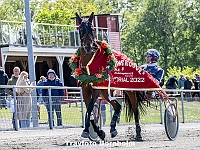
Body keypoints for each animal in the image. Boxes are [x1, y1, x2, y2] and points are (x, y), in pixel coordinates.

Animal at [73, 12, 145, 141]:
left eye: (92, 28)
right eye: (80, 29)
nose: (88, 46)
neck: (90, 65)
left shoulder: (97, 89)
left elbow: (90, 107)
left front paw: (87, 130)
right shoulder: (85, 90)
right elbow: (90, 110)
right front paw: (98, 132)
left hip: (129, 90)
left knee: (135, 109)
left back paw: (138, 133)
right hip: (106, 93)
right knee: (117, 106)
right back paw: (112, 128)